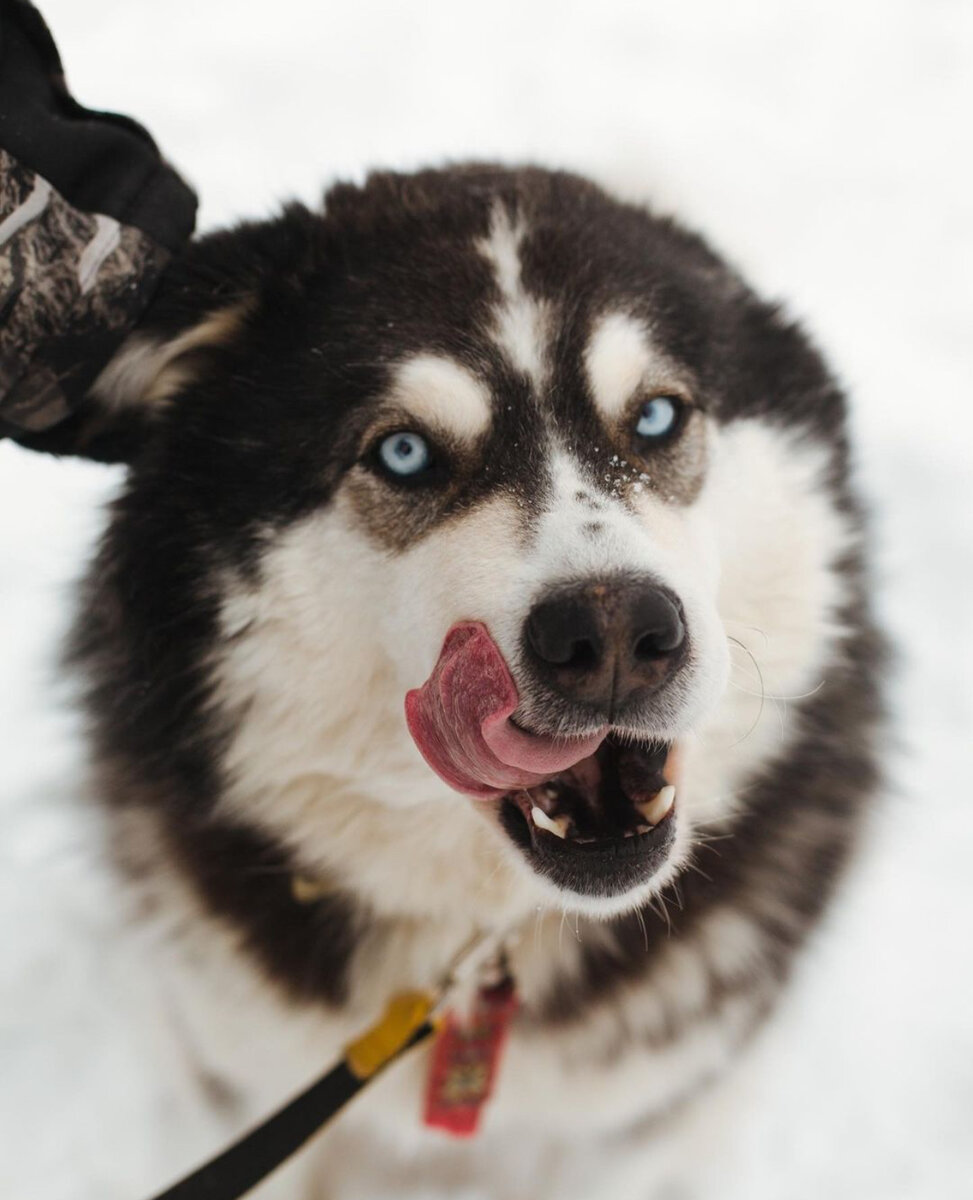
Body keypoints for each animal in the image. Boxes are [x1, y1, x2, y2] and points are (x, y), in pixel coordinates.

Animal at [34, 164, 887, 1195]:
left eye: (655, 417)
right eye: (403, 453)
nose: (611, 631)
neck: (474, 953)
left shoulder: (643, 1120)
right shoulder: (242, 1078)